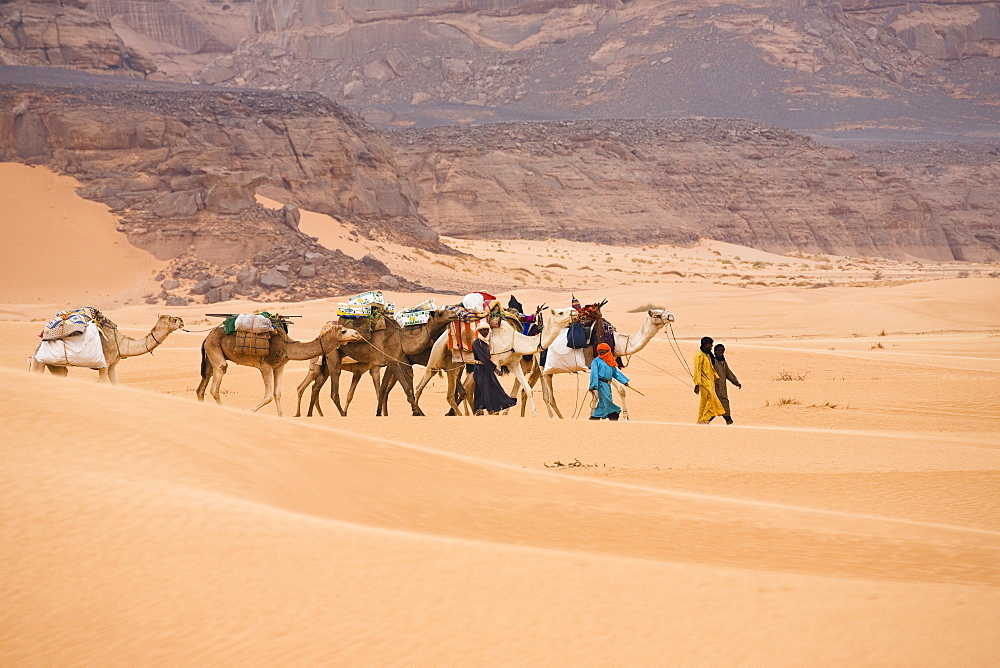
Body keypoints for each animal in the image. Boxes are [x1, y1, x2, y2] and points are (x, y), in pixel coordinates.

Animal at [195, 320, 364, 414]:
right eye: (343, 331)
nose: (357, 334)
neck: (287, 345)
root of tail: (207, 337)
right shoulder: (265, 367)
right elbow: (268, 396)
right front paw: (248, 411)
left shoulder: (279, 366)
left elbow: (277, 394)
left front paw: (280, 416)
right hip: (215, 350)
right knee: (215, 383)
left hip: (211, 356)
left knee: (202, 387)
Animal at [410, 308, 576, 418]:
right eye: (561, 312)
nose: (574, 312)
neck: (514, 340)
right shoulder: (494, 362)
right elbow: (492, 389)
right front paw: (496, 412)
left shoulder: (514, 363)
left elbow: (527, 389)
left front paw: (535, 415)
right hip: (437, 354)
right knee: (425, 382)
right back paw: (420, 412)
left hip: (456, 364)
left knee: (456, 390)